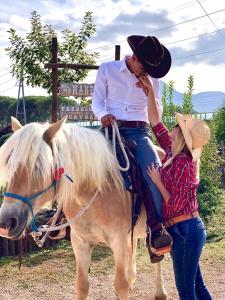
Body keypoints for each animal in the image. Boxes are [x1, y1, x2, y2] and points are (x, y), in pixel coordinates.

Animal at [0, 118, 167, 300]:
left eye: (38, 166)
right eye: (9, 164)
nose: (6, 222)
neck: (96, 189)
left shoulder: (119, 241)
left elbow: (121, 284)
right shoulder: (80, 242)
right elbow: (82, 285)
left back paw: (160, 291)